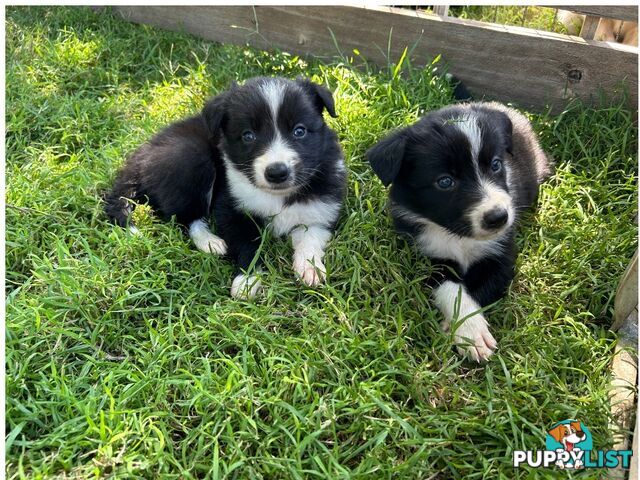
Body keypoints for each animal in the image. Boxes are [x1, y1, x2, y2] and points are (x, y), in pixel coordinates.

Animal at [105, 77, 344, 298]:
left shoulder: (322, 208)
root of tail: (140, 157)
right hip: (191, 157)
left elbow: (311, 235)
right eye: (248, 135)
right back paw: (210, 242)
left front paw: (310, 268)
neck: (277, 195)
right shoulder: (231, 208)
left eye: (299, 131)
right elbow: (247, 245)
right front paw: (247, 280)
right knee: (184, 218)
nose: (277, 172)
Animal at [368, 103, 552, 362]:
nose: (499, 217)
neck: (459, 235)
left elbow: (483, 288)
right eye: (445, 182)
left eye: (496, 165)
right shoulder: (424, 255)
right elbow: (449, 287)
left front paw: (464, 329)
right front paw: (469, 331)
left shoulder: (500, 254)